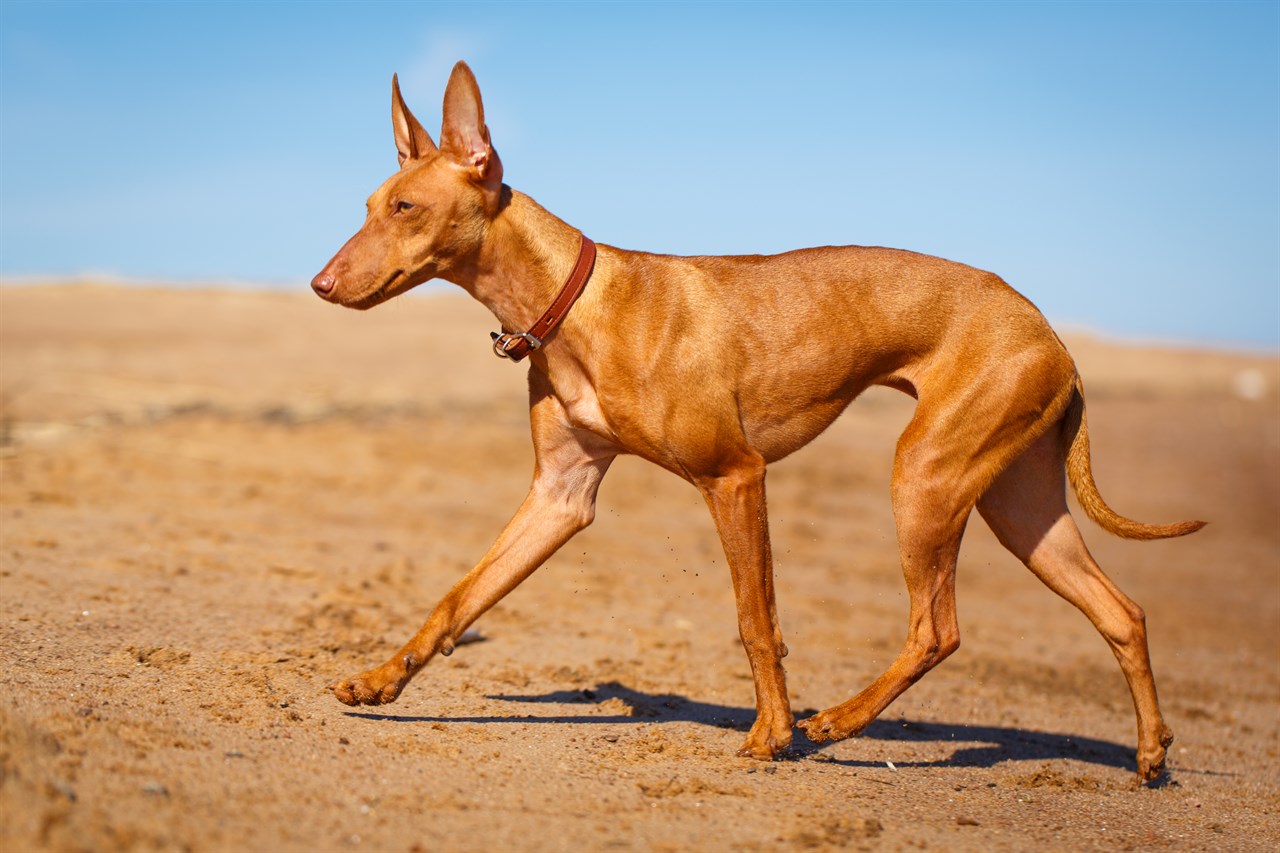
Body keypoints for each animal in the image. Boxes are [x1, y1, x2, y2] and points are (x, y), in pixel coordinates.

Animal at [309, 58, 1198, 778]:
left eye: (405, 206)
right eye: (369, 204)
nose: (319, 284)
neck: (576, 301)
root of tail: (1053, 334)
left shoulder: (735, 476)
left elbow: (755, 618)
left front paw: (772, 733)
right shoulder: (560, 495)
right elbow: (459, 597)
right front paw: (383, 678)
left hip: (926, 475)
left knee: (936, 627)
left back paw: (833, 722)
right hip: (1017, 505)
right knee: (1121, 611)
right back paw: (1152, 753)